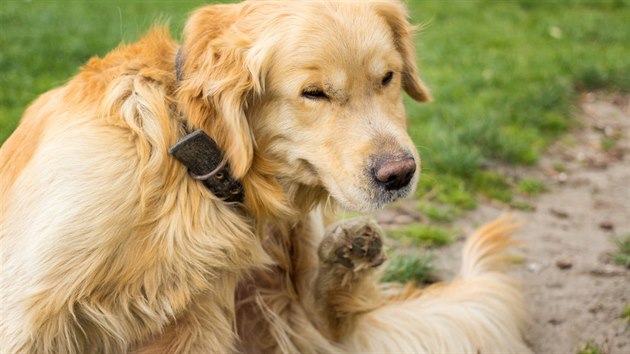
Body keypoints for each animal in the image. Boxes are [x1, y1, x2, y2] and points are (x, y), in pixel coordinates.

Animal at [0, 1, 532, 352]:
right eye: (314, 93)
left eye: (388, 78)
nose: (399, 174)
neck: (190, 154)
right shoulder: (26, 309)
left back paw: (349, 251)